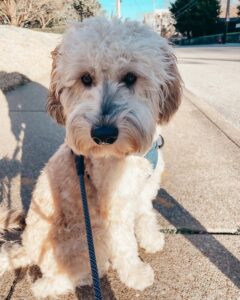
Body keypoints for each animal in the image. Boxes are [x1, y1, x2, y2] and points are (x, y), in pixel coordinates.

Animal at [0, 17, 181, 298]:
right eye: (85, 78)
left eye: (130, 77)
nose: (103, 134)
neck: (130, 153)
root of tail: (27, 249)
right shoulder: (114, 208)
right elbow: (125, 244)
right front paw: (136, 274)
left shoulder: (143, 189)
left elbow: (145, 214)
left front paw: (151, 239)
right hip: (90, 238)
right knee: (48, 284)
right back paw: (90, 274)